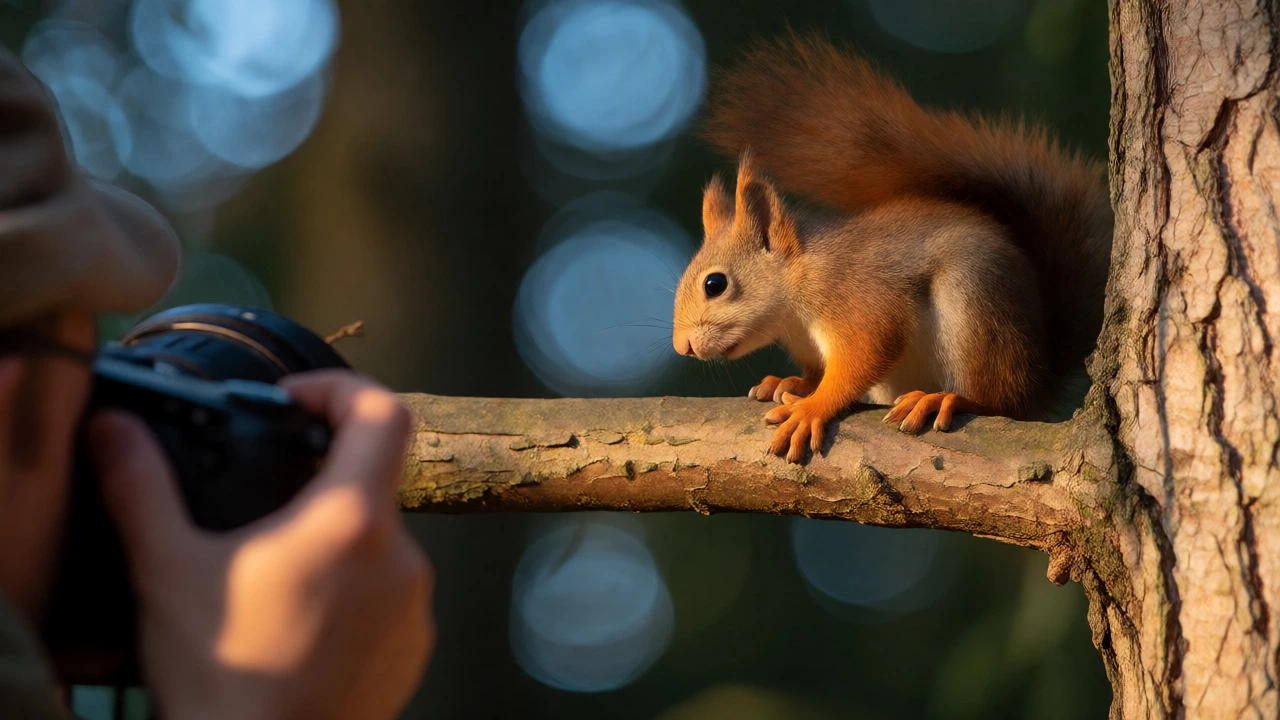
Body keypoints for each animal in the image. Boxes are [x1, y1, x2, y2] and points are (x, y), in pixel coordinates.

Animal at [670, 33, 1113, 463]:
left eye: (715, 284)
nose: (682, 347)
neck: (797, 291)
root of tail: (1040, 377)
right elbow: (818, 372)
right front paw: (790, 382)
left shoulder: (858, 298)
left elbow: (867, 352)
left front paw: (810, 408)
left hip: (976, 303)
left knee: (1000, 401)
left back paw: (945, 399)